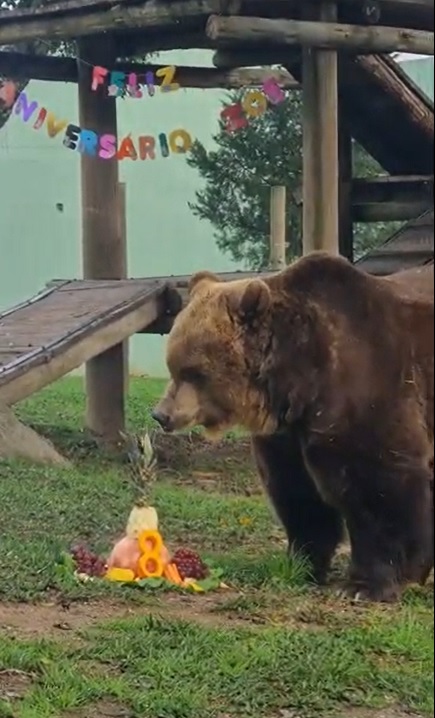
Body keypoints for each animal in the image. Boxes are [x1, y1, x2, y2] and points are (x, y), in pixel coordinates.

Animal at [154, 256, 435, 604]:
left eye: (193, 371)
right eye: (172, 364)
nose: (161, 415)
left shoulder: (370, 388)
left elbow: (379, 488)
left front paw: (367, 584)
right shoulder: (286, 436)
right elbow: (297, 493)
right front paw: (301, 562)